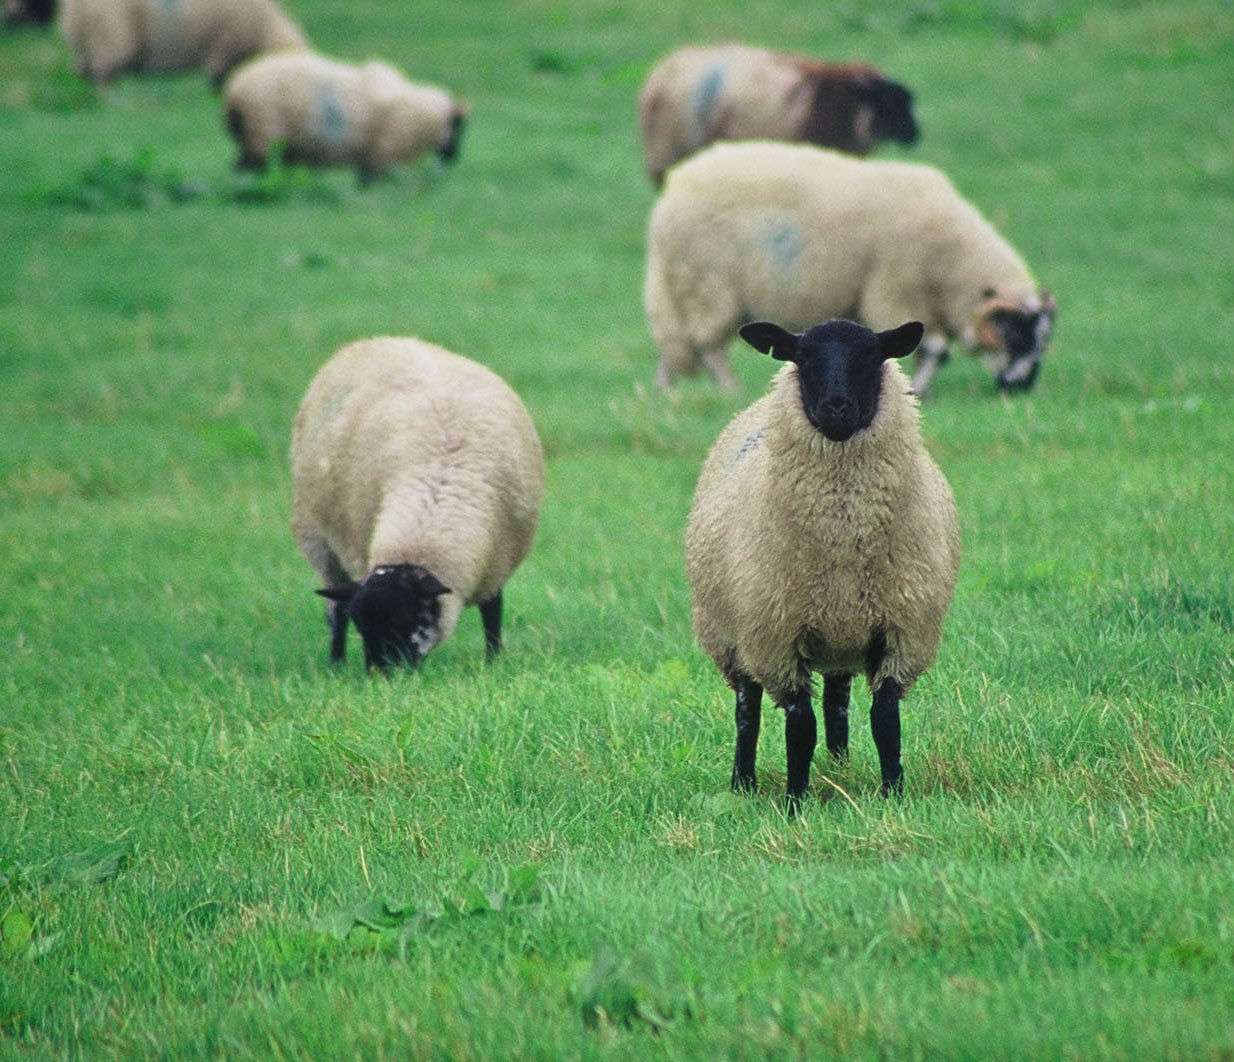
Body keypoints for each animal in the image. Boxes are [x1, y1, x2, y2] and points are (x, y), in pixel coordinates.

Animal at [59, 0, 307, 87]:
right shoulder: (224, 46)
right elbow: (217, 77)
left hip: (87, 39)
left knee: (83, 69)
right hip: (111, 32)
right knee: (102, 72)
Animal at [223, 50, 467, 182]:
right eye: (458, 126)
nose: (454, 157)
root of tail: (235, 91)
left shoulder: (373, 155)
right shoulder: (383, 152)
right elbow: (370, 182)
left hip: (255, 137)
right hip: (262, 133)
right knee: (251, 168)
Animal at [291, 337, 544, 671]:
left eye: (403, 620)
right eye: (363, 627)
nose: (380, 675)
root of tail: (376, 340)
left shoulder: (495, 563)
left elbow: (493, 612)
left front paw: (493, 660)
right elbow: (342, 612)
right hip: (318, 540)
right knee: (334, 610)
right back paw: (336, 664)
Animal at [644, 140, 1056, 395]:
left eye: (1044, 340)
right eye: (1017, 335)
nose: (1021, 389)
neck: (951, 258)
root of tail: (674, 190)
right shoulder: (894, 290)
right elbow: (937, 349)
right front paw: (915, 389)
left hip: (679, 285)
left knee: (674, 343)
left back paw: (665, 392)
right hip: (707, 284)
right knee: (706, 345)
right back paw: (729, 390)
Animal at [685, 317, 960, 811]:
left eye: (872, 356)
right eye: (803, 356)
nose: (836, 408)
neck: (843, 536)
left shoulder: (902, 630)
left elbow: (885, 721)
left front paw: (894, 794)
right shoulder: (777, 636)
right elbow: (799, 727)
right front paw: (795, 801)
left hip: (841, 635)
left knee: (837, 701)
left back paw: (839, 767)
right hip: (732, 632)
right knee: (747, 708)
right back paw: (743, 782)